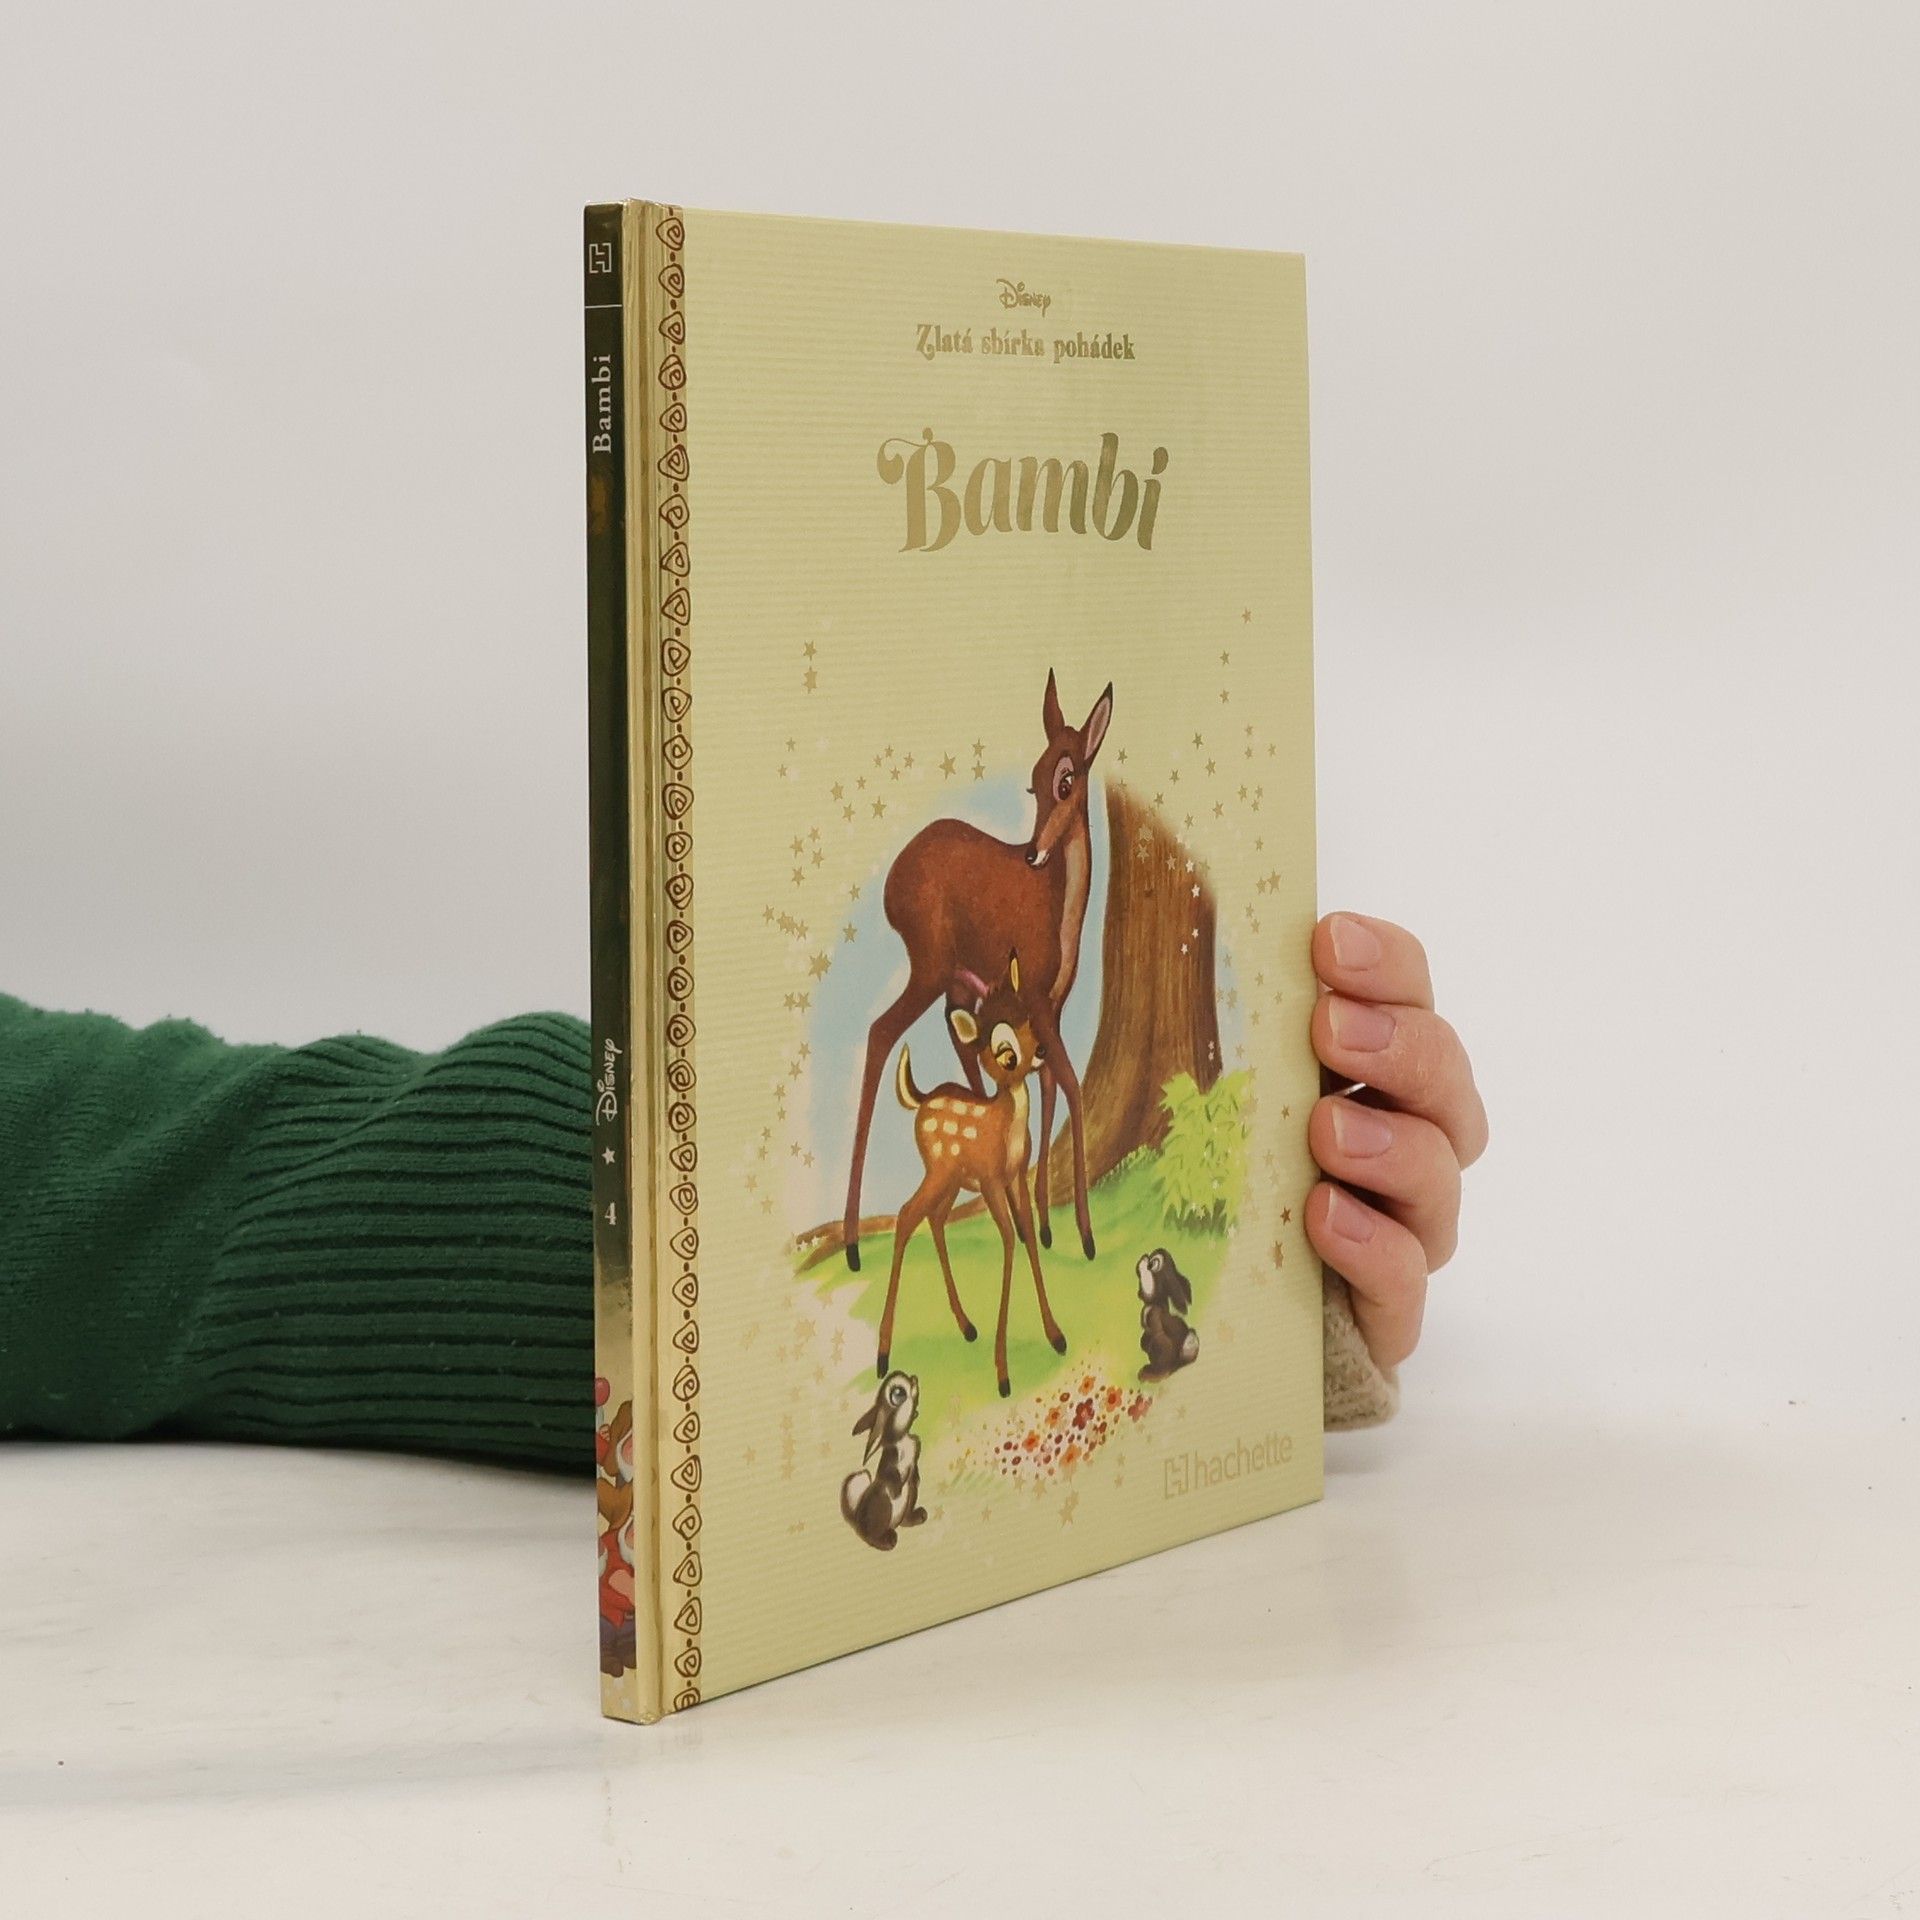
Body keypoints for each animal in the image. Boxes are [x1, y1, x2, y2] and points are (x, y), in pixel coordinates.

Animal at [840, 1370, 926, 1551]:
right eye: (898, 1393)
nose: (914, 1378)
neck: (902, 1439)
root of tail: (858, 1523)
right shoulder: (891, 1461)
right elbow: (891, 1475)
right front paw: (896, 1488)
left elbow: (913, 1474)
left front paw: (917, 1478)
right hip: (882, 1503)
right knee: (871, 1538)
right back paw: (887, 1541)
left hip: (909, 1496)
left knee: (906, 1512)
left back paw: (917, 1516)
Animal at [843, 670, 1113, 1272]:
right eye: (1033, 784)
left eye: (1065, 780)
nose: (1033, 853)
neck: (1059, 907)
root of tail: (889, 888)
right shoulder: (1035, 996)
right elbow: (1071, 1084)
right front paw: (1085, 1235)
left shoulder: (1051, 1007)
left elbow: (1050, 1084)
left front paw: (1046, 1224)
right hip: (930, 967)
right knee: (880, 1031)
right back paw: (850, 1244)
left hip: (956, 982)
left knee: (956, 1039)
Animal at [879, 954, 1066, 1399]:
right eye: (1004, 1052)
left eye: (1029, 1021)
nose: (1043, 1050)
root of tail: (921, 1100)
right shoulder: (992, 1180)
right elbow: (1009, 1240)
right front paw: (1002, 1374)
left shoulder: (1015, 1176)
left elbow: (1027, 1234)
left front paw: (1055, 1335)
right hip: (939, 1170)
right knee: (907, 1215)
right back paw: (883, 1354)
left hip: (951, 1181)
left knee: (933, 1219)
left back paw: (966, 1326)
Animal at [1136, 1248, 1200, 1382]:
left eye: (1153, 1261)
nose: (1148, 1258)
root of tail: (1175, 1364)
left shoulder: (1158, 1289)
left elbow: (1149, 1293)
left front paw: (1143, 1261)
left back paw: (1151, 1373)